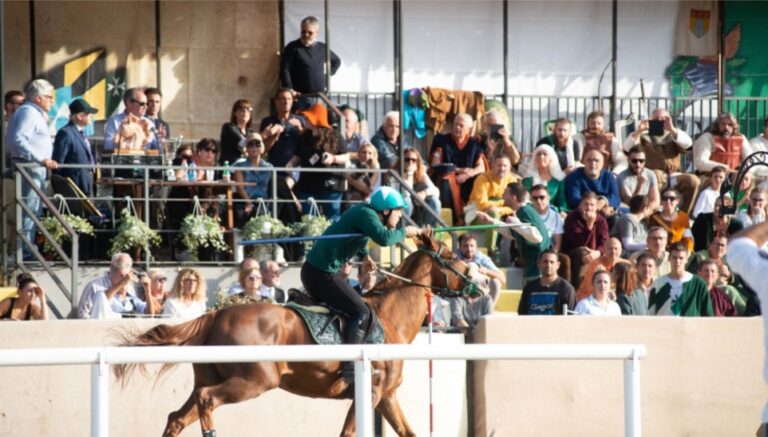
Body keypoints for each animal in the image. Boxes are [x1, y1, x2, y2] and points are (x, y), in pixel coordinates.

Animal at [114, 235, 474, 436]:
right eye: (452, 257)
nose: (477, 280)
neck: (389, 318)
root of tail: (216, 314)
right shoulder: (370, 392)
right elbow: (348, 433)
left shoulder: (386, 396)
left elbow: (409, 432)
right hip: (256, 380)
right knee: (207, 400)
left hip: (212, 377)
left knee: (176, 418)